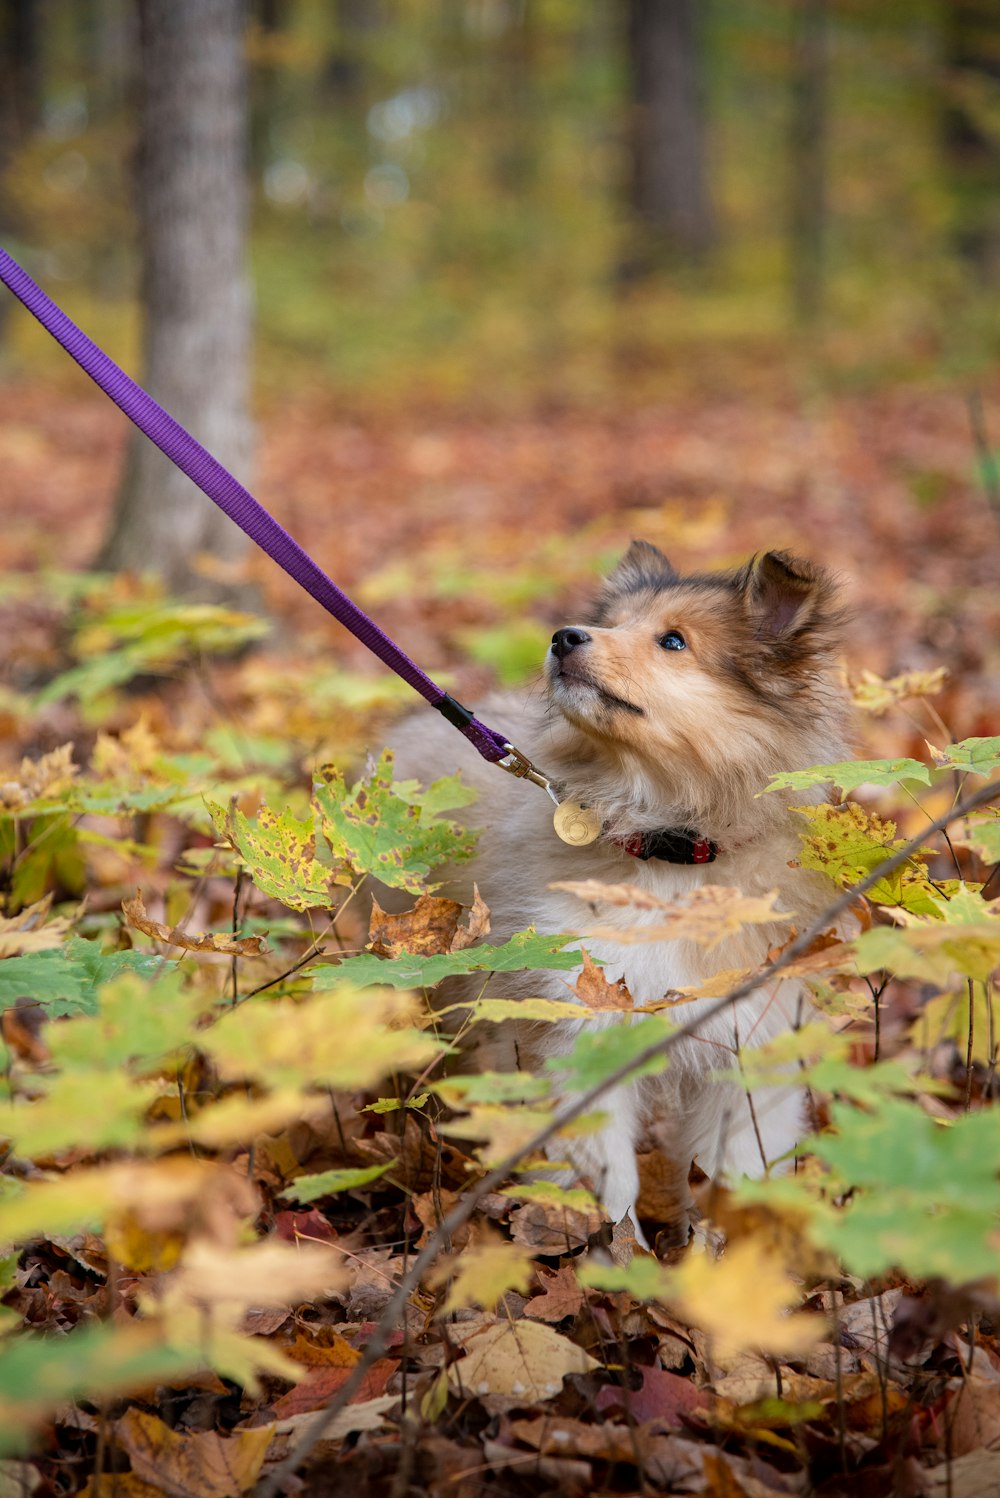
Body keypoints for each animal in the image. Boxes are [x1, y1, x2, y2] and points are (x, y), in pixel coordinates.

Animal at [386, 542, 850, 1240]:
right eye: (615, 624)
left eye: (673, 641)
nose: (563, 636)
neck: (667, 850)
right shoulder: (579, 1025)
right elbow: (606, 1180)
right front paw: (610, 1252)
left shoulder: (751, 1041)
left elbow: (734, 1172)